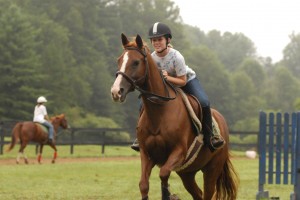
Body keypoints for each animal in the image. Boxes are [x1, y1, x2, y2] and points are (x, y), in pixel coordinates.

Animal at [110, 33, 239, 199]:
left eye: (136, 62)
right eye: (119, 60)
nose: (116, 91)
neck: (159, 113)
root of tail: (222, 120)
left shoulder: (179, 152)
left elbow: (164, 174)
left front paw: (169, 194)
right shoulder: (147, 154)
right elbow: (144, 185)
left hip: (212, 169)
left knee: (207, 192)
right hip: (187, 173)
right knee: (197, 193)